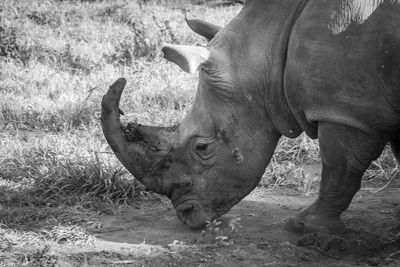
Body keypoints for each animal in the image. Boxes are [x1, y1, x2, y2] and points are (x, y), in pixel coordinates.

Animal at [101, 0, 400, 234]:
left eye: (202, 147)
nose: (186, 215)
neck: (266, 48)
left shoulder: (343, 111)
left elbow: (338, 168)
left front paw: (306, 228)